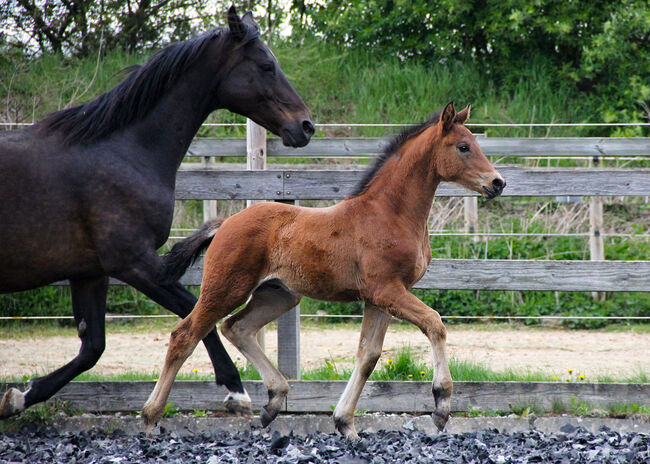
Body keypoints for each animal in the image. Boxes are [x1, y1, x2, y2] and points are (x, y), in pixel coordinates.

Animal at [0, 6, 314, 420]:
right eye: (265, 65)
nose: (306, 126)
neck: (124, 151)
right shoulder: (133, 261)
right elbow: (194, 311)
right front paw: (236, 390)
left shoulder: (90, 271)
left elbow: (92, 348)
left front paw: (19, 396)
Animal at [139, 101, 504, 438]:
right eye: (463, 147)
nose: (498, 182)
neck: (389, 213)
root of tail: (225, 222)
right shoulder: (387, 290)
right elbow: (434, 323)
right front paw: (441, 406)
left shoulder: (380, 298)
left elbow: (368, 355)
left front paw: (345, 423)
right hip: (226, 287)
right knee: (185, 335)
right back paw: (150, 417)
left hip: (279, 295)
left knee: (237, 327)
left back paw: (273, 401)